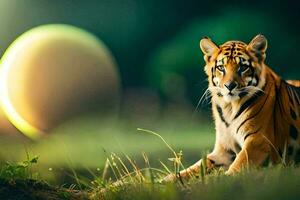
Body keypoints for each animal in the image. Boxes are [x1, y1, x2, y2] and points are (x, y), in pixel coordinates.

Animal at [164, 34, 300, 181]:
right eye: (221, 67)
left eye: (242, 67)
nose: (229, 86)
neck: (228, 107)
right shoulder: (224, 149)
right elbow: (200, 164)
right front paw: (169, 178)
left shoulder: (258, 141)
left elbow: (240, 162)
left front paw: (225, 177)